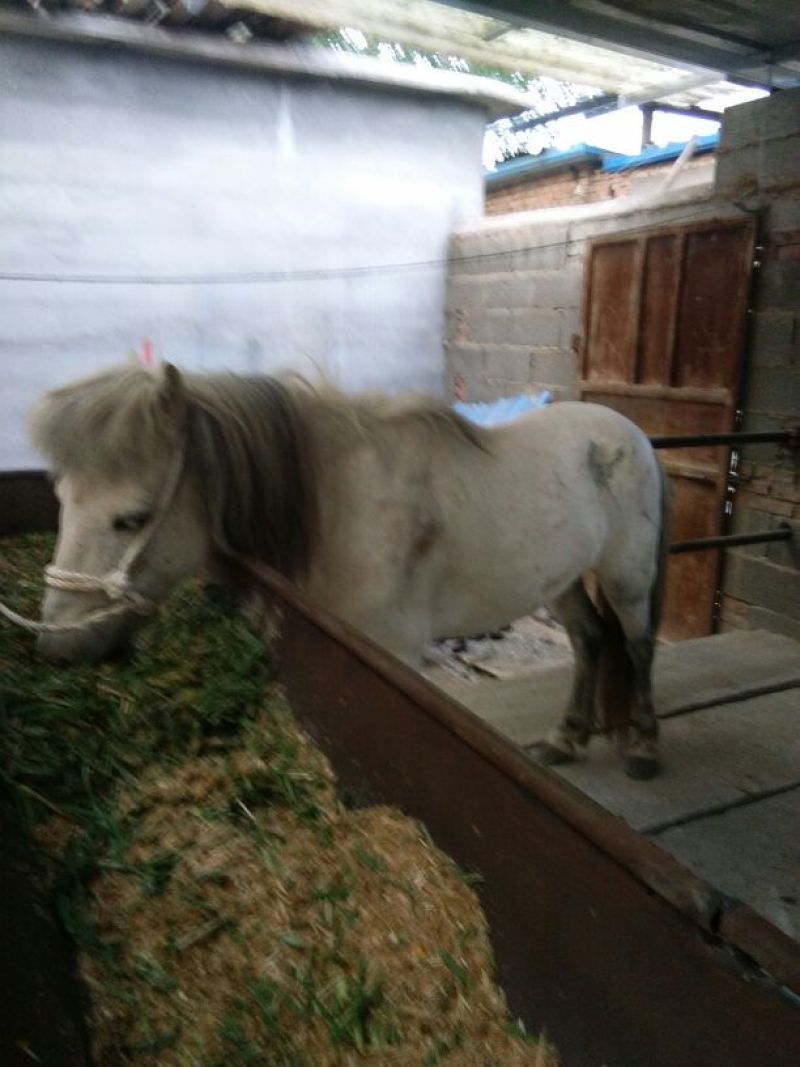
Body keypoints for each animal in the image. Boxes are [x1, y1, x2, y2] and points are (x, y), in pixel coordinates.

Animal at [28, 361, 668, 779]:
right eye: (59, 498)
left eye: (130, 519)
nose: (55, 648)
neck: (343, 507)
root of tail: (629, 431)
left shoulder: (400, 655)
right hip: (562, 581)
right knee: (589, 640)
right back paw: (566, 739)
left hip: (627, 577)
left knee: (637, 647)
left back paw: (643, 747)